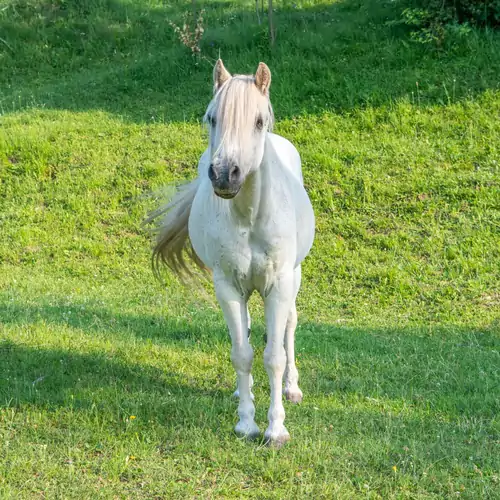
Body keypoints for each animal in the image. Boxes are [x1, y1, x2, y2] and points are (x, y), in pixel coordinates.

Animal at [148, 60, 314, 448]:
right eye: (212, 118)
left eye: (258, 121)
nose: (225, 174)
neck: (250, 218)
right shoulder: (227, 286)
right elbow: (242, 354)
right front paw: (246, 423)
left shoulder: (279, 286)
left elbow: (274, 356)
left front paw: (276, 429)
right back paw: (245, 392)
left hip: (294, 278)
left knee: (290, 326)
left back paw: (292, 388)